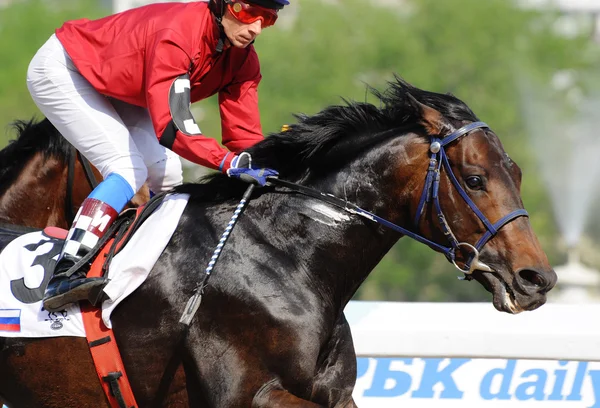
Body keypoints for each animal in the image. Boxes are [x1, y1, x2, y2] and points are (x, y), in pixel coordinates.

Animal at [0, 78, 556, 406]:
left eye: (517, 173)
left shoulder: (336, 395)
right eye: (476, 178)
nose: (537, 278)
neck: (288, 258)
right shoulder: (252, 395)